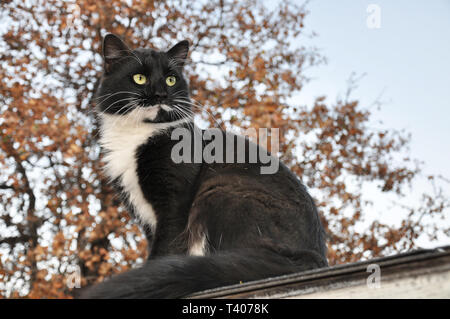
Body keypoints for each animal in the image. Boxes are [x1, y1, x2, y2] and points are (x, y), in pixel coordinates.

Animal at [81, 35, 326, 300]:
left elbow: (166, 246)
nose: (161, 94)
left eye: (171, 79)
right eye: (139, 78)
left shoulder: (174, 201)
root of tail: (311, 258)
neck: (138, 135)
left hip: (220, 193)